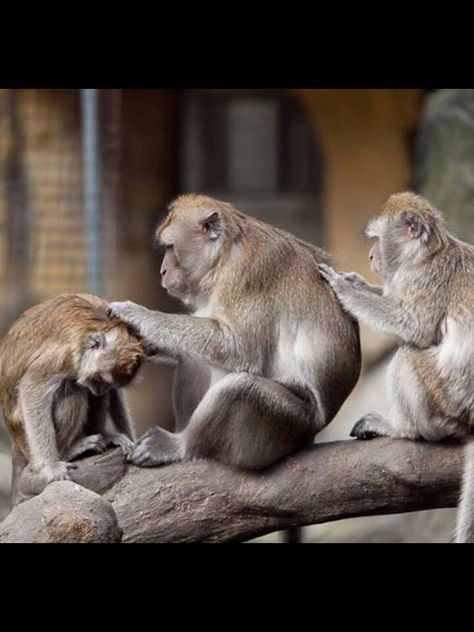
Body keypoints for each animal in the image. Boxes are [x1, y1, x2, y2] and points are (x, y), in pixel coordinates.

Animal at [0, 292, 144, 504]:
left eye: (107, 384)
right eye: (99, 379)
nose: (100, 389)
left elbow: (113, 395)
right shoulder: (65, 354)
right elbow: (32, 387)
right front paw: (51, 467)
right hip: (24, 436)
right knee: (73, 391)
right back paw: (69, 451)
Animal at [107, 195, 360, 472]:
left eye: (170, 247)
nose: (162, 271)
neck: (224, 255)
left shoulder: (248, 274)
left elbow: (239, 349)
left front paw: (138, 315)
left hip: (287, 424)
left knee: (241, 387)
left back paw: (181, 445)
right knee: (194, 359)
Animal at [318, 191, 474, 544]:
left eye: (378, 238)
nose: (371, 255)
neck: (427, 253)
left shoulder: (424, 280)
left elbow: (414, 328)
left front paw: (345, 289)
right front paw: (356, 282)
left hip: (449, 398)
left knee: (408, 355)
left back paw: (405, 429)